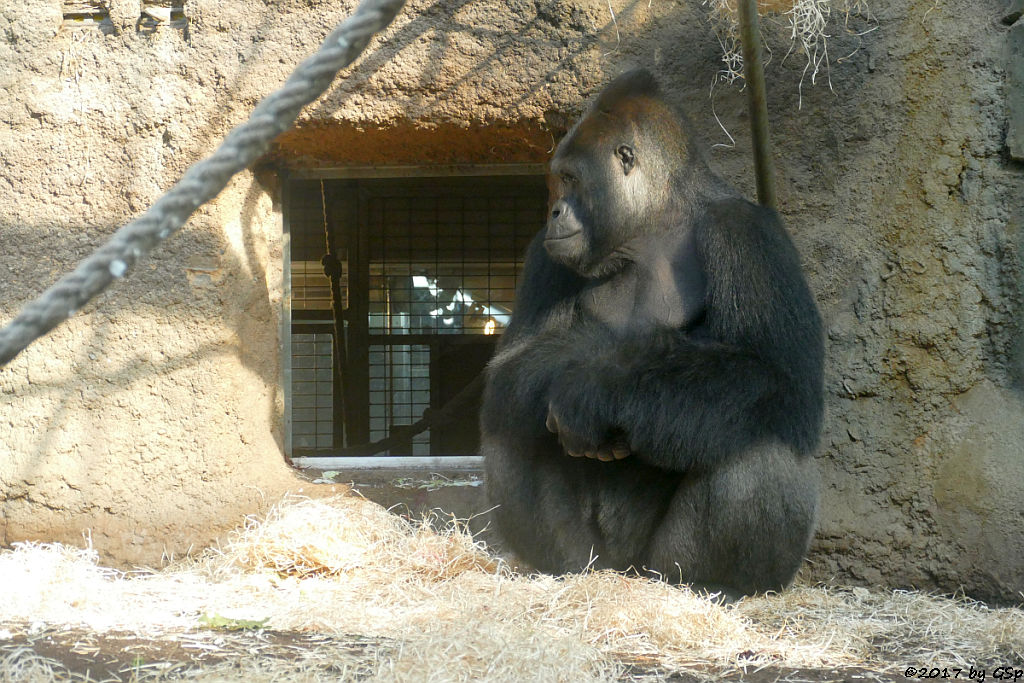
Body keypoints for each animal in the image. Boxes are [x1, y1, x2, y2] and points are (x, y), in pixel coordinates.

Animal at [477, 66, 823, 593]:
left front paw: (593, 388)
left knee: (758, 435)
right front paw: (587, 369)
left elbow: (779, 378)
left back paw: (720, 587)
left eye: (571, 179)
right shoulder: (546, 251)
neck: (652, 223)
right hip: (592, 558)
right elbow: (514, 367)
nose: (554, 212)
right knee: (512, 417)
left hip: (662, 567)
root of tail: (623, 571)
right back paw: (560, 570)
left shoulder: (746, 230)